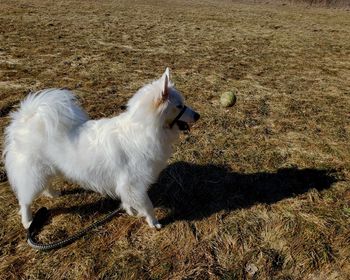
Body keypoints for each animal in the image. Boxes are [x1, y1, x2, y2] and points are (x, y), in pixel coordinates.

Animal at [3, 68, 200, 230]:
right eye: (179, 106)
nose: (198, 115)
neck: (144, 130)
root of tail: (25, 122)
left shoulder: (126, 185)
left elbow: (128, 200)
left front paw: (131, 212)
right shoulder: (134, 184)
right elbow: (148, 206)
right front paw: (154, 222)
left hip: (46, 170)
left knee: (45, 184)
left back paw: (53, 193)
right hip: (33, 174)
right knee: (24, 201)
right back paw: (28, 221)